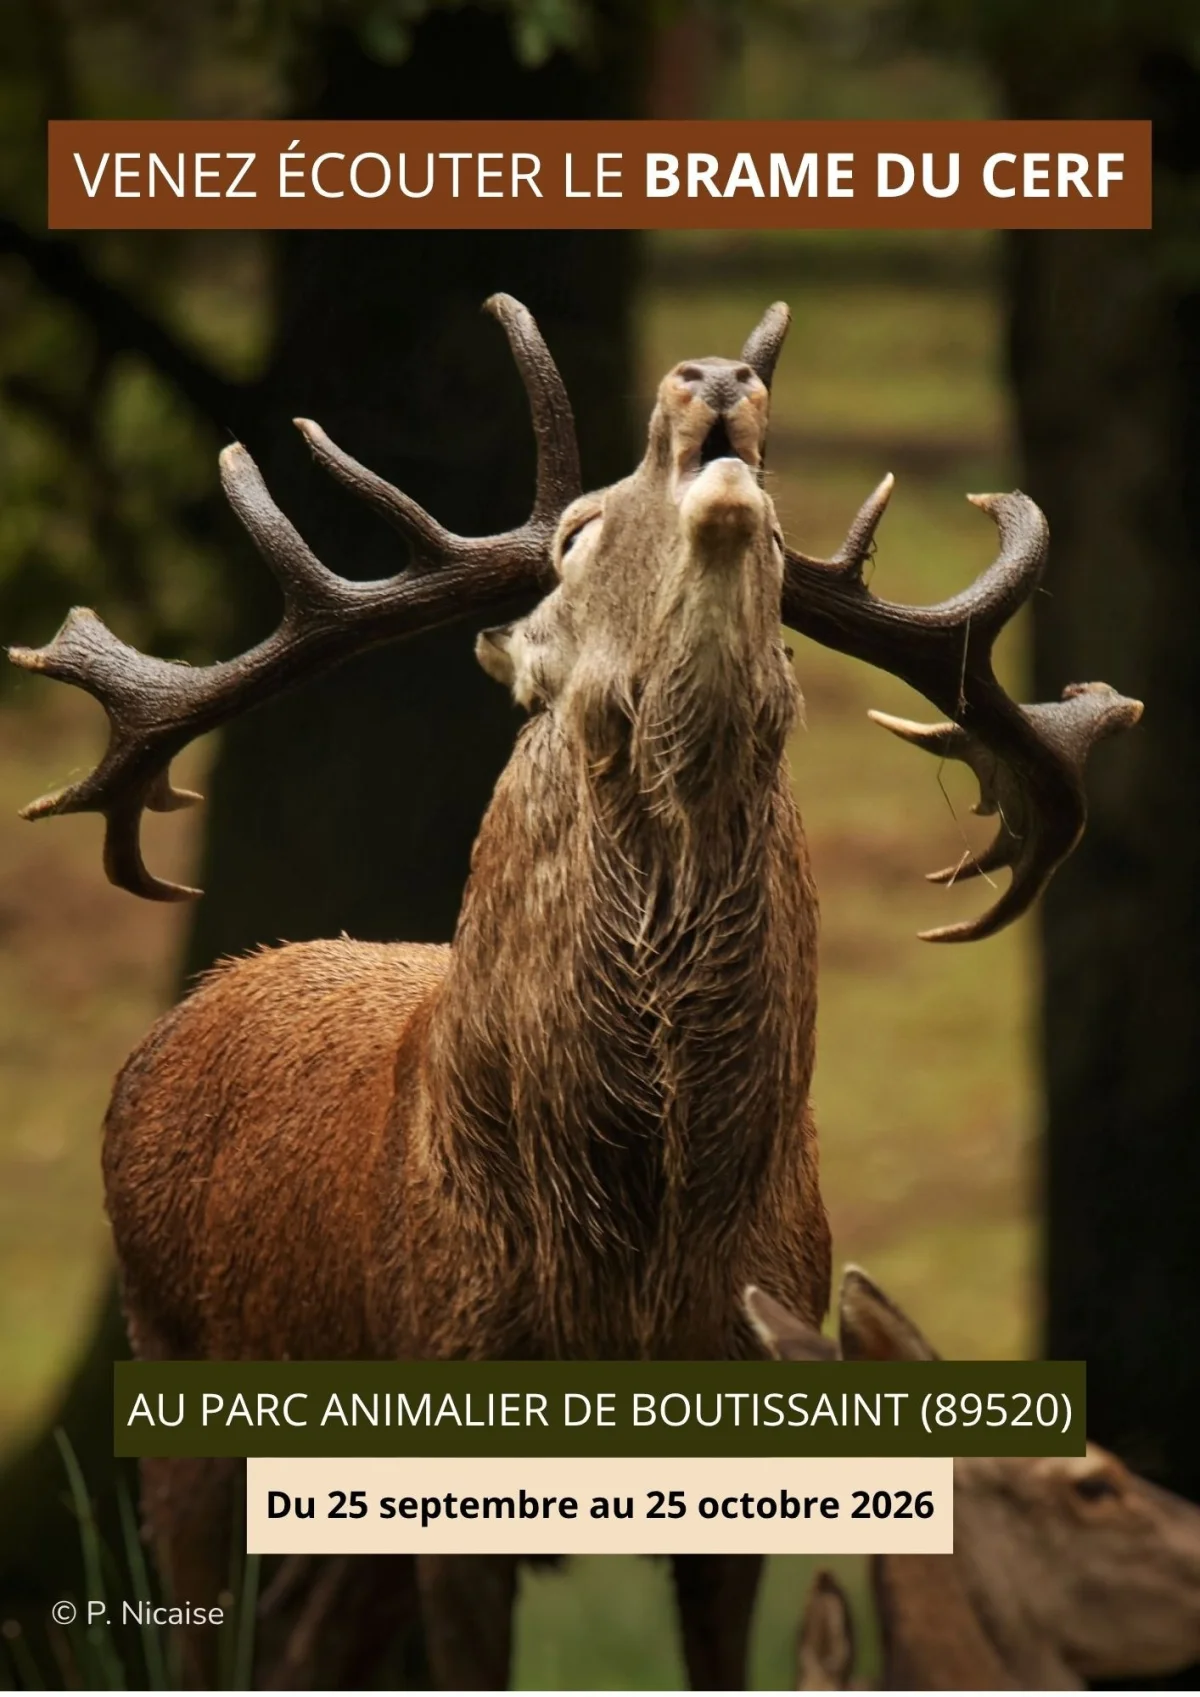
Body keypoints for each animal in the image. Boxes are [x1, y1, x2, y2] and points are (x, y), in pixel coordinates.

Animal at [8, 295, 1142, 1689]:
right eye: (576, 532)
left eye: (780, 541)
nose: (714, 379)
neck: (630, 1253)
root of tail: (185, 1011)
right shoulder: (441, 1394)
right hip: (171, 1362)